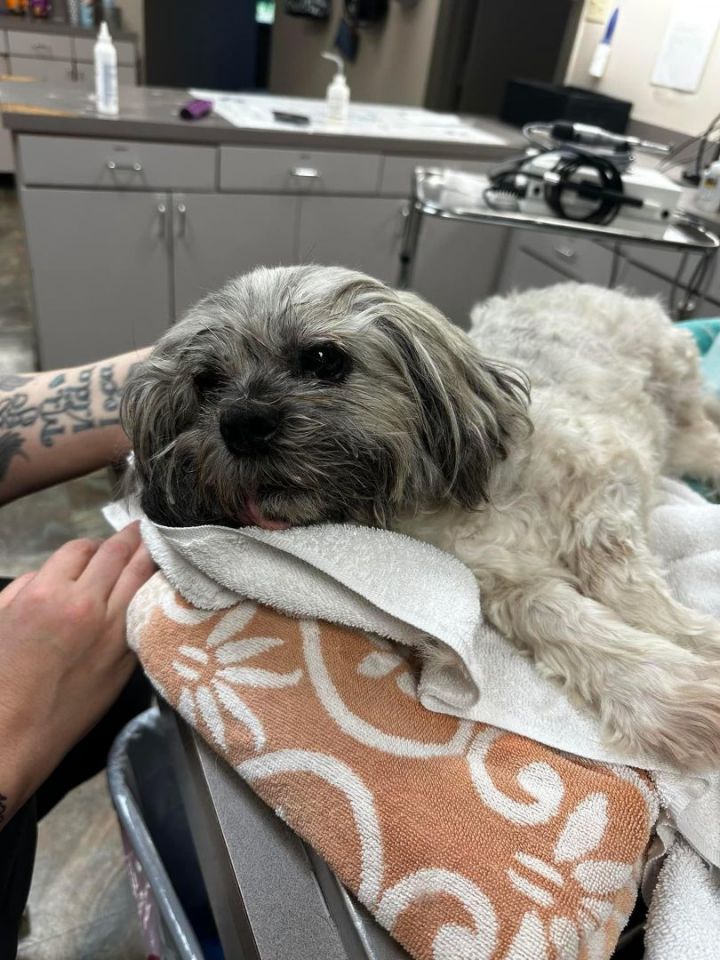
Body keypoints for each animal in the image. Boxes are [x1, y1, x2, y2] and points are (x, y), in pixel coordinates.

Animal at [121, 264, 720, 772]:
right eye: (205, 382)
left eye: (323, 359)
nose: (241, 422)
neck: (444, 503)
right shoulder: (507, 585)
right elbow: (561, 620)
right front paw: (665, 693)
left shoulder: (604, 478)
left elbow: (621, 579)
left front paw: (693, 639)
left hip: (671, 380)